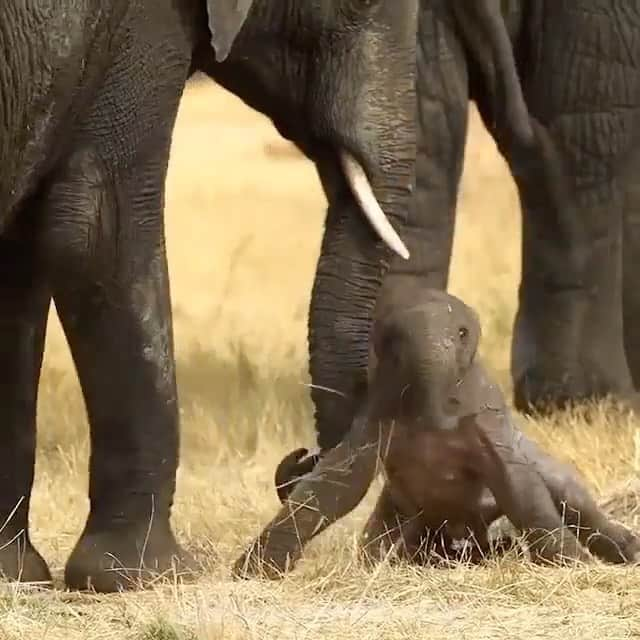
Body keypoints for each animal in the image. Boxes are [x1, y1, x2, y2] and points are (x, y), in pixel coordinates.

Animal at [1, 0, 420, 596]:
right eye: (356, 6)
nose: (299, 460)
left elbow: (20, 261)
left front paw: (17, 576)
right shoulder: (139, 22)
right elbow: (101, 229)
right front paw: (154, 574)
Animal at [234, 288, 640, 576]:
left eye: (462, 334)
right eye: (393, 339)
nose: (304, 454)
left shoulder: (486, 415)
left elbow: (517, 484)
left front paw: (574, 566)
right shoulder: (377, 410)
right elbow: (340, 482)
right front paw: (251, 570)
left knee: (571, 498)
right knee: (380, 537)